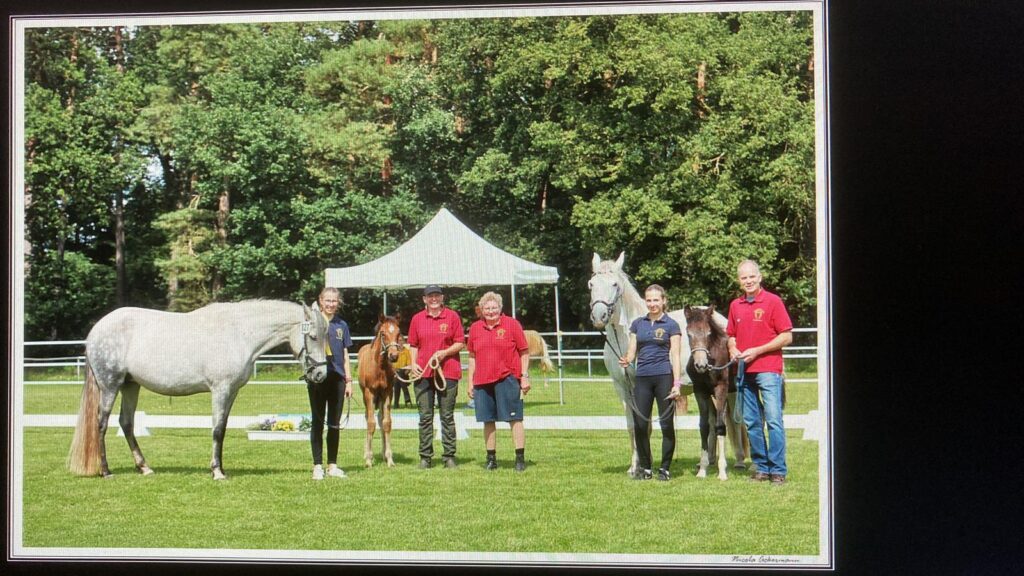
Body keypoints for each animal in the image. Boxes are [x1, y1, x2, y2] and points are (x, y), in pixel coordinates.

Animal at [67, 297, 327, 477]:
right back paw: (106, 471)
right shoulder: (220, 390)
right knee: (101, 424)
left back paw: (145, 467)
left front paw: (220, 468)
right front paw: (217, 472)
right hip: (110, 386)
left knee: (126, 423)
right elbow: (216, 430)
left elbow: (222, 429)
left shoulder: (232, 392)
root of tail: (96, 330)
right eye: (313, 336)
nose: (321, 374)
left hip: (131, 386)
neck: (238, 334)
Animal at [352, 313, 399, 467]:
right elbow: (370, 424)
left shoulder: (388, 392)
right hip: (366, 396)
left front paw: (389, 459)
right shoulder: (370, 393)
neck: (379, 367)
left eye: (399, 333)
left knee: (380, 418)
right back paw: (368, 454)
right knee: (368, 417)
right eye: (383, 333)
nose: (393, 356)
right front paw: (368, 460)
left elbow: (386, 423)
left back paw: (383, 454)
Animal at [684, 305, 749, 479]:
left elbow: (720, 425)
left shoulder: (721, 389)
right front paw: (702, 469)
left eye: (708, 333)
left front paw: (722, 472)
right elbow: (704, 426)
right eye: (689, 333)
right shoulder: (700, 392)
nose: (700, 365)